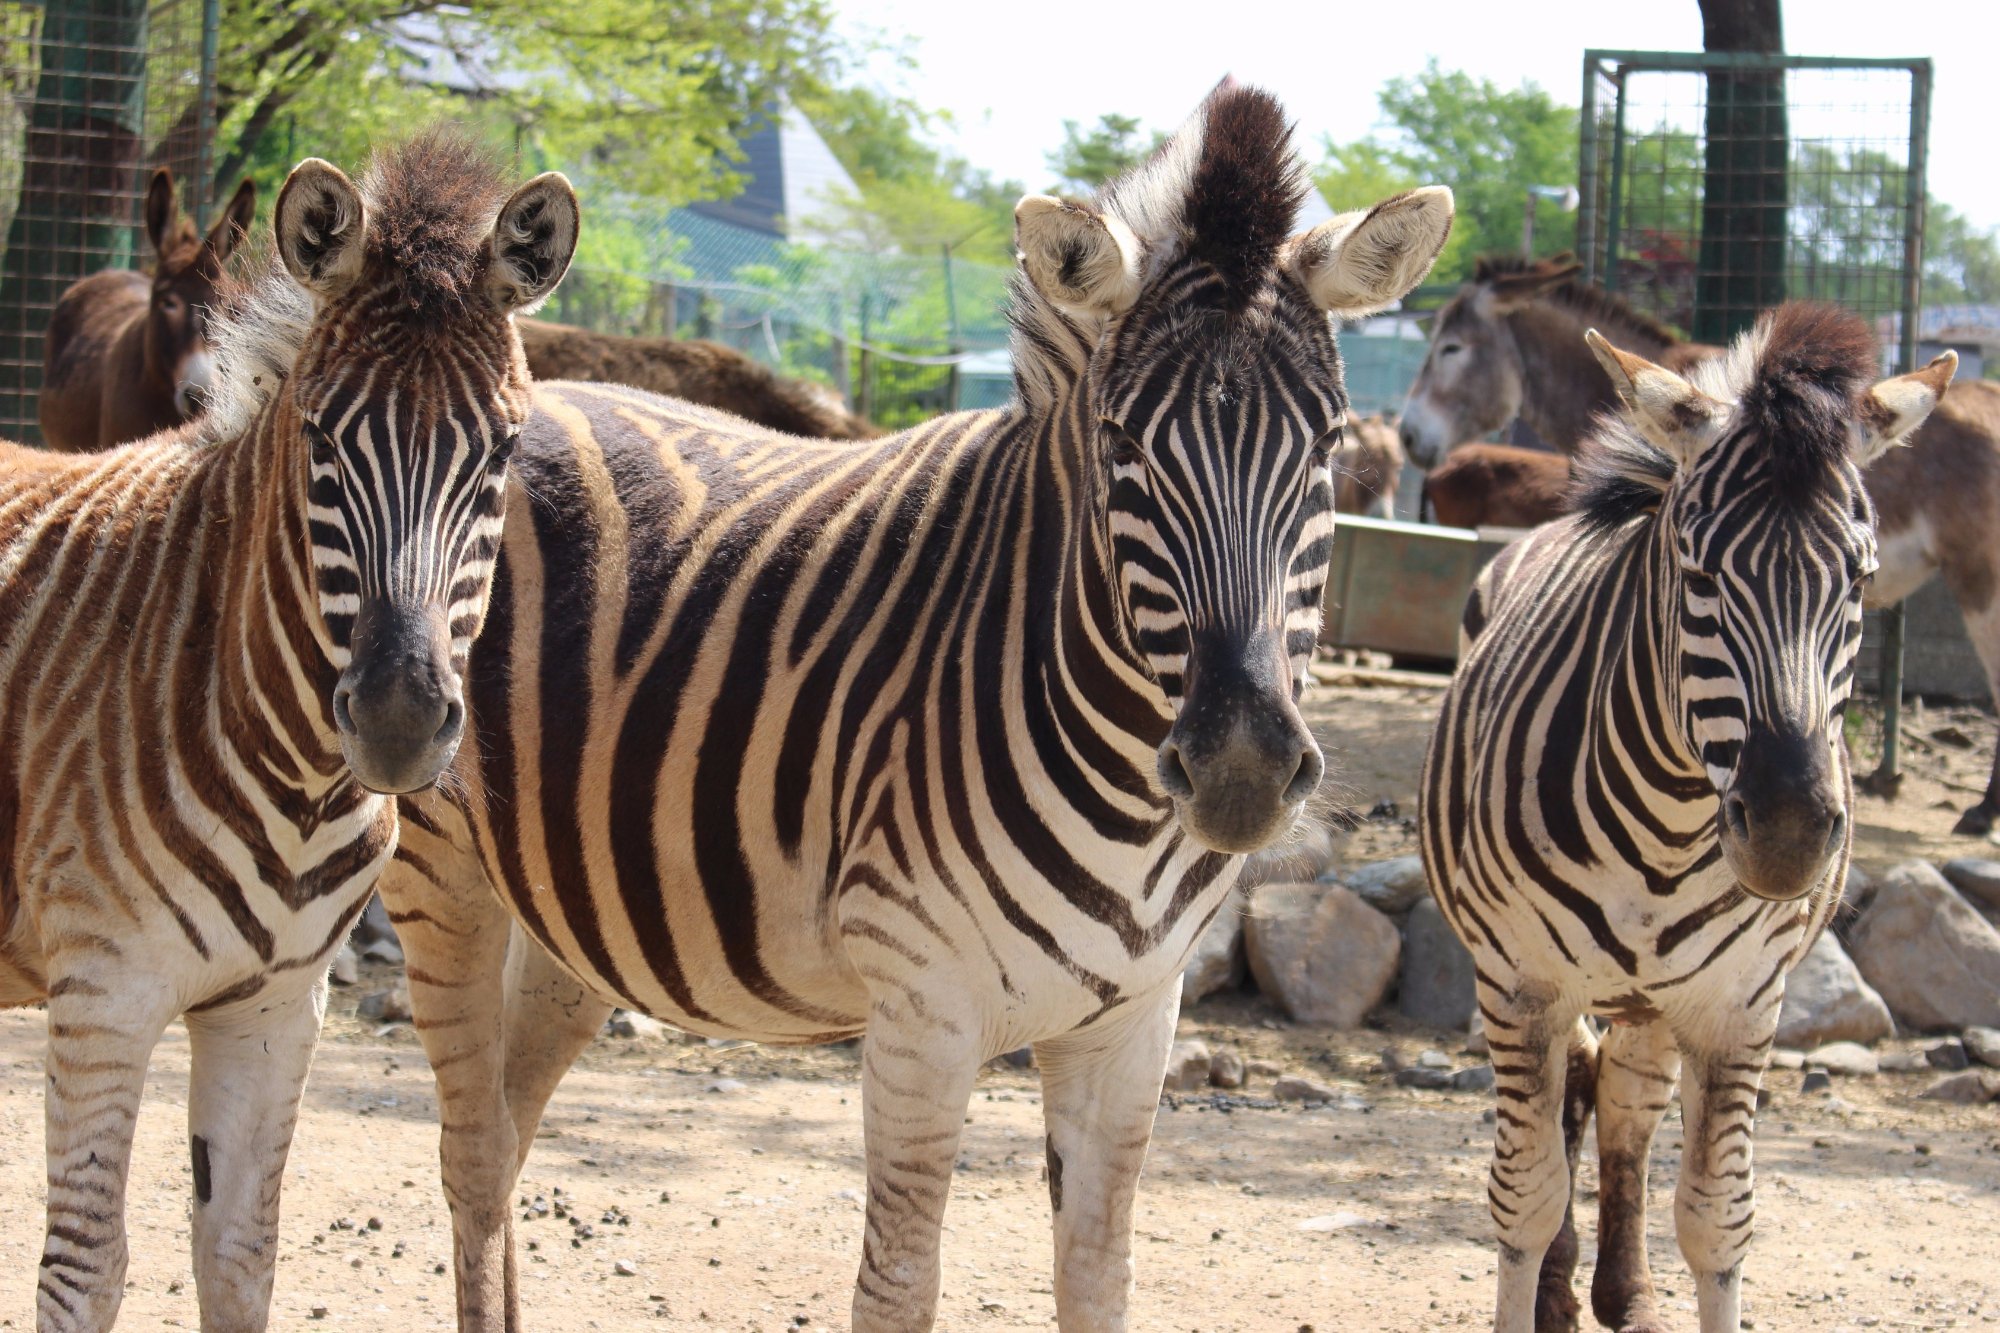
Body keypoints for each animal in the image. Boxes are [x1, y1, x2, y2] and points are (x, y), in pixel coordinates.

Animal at [1, 127, 580, 1328]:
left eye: (503, 452)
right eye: (321, 436)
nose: (400, 721)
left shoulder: (273, 1009)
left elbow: (238, 1253)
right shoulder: (102, 995)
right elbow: (84, 1269)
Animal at [348, 85, 1456, 1328]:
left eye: (1326, 445)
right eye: (1123, 444)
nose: (1241, 768)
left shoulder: (1134, 1025)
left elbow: (1097, 1278)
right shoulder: (923, 1014)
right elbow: (897, 1285)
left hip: (568, 909)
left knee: (506, 1127)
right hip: (440, 865)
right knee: (469, 1150)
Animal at [1424, 300, 1952, 1328]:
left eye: (1861, 579)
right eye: (1700, 572)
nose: (1788, 832)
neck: (1668, 826)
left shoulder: (1742, 998)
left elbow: (1716, 1216)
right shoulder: (1519, 981)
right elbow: (1525, 1193)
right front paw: (1533, 1284)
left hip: (1663, 994)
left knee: (1627, 1093)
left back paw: (1625, 1292)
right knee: (1577, 1088)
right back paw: (1563, 1290)